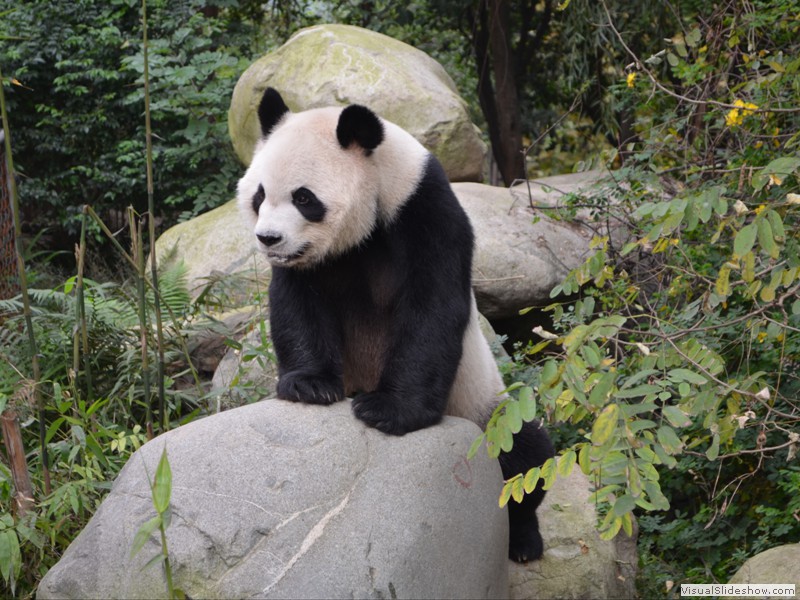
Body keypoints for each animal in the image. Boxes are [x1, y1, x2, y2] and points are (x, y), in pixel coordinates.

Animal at [234, 88, 552, 564]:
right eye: (259, 194)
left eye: (304, 198)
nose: (269, 238)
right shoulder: (309, 262)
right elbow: (297, 304)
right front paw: (310, 385)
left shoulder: (424, 212)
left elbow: (431, 307)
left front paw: (388, 411)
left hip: (484, 407)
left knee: (524, 458)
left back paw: (524, 541)